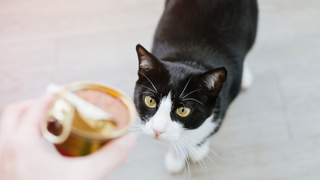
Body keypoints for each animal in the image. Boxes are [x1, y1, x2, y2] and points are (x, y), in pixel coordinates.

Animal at [132, 0, 258, 173]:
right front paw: (176, 158)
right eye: (150, 101)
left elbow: (206, 131)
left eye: (183, 110)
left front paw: (198, 149)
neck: (188, 60)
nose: (157, 130)